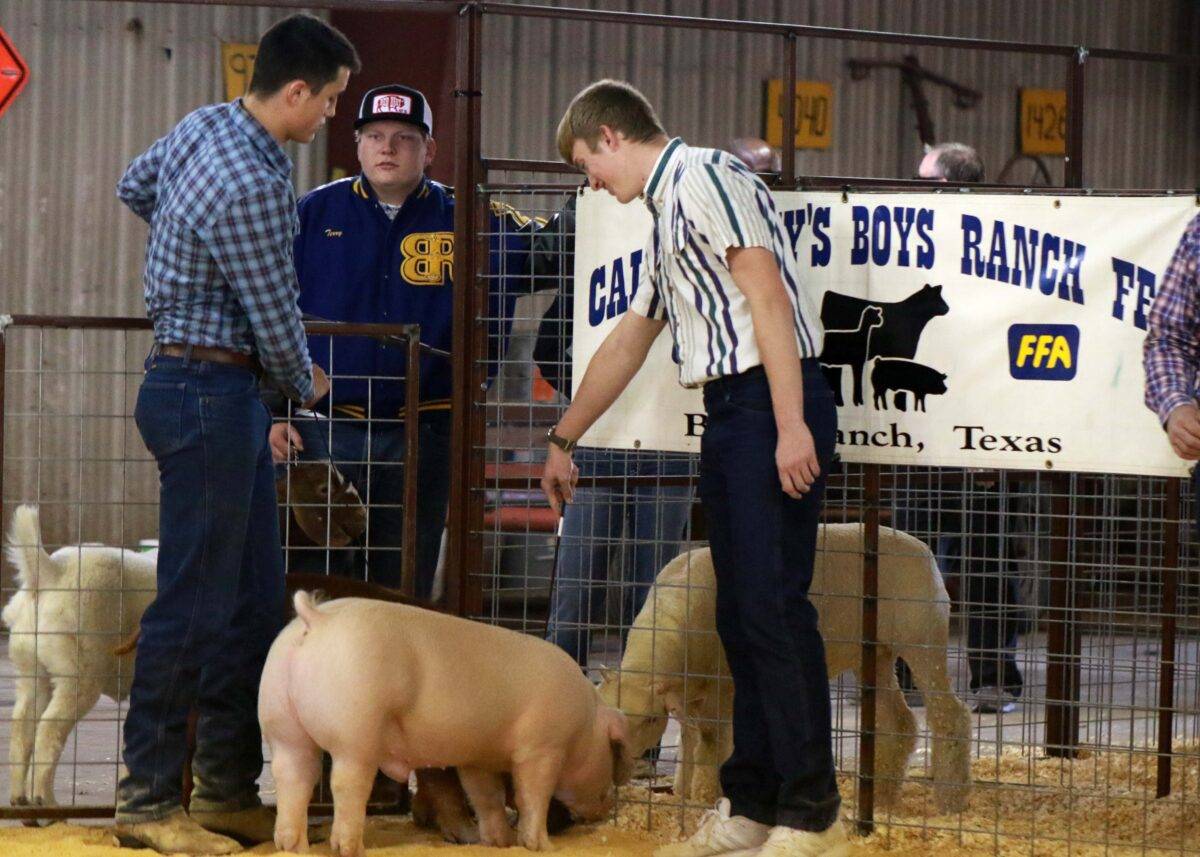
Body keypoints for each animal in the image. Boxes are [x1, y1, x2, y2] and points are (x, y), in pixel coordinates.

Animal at [1, 504, 157, 806]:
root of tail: (49, 573)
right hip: (79, 674)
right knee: (48, 730)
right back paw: (45, 801)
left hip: (32, 670)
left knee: (22, 729)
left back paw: (20, 799)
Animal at [258, 595, 633, 854]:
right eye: (613, 752)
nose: (605, 807)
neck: (585, 724)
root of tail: (316, 618)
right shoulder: (542, 748)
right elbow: (532, 797)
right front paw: (541, 846)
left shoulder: (478, 758)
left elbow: (487, 798)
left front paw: (499, 842)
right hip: (355, 732)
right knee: (346, 785)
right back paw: (351, 849)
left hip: (281, 724)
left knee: (293, 778)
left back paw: (294, 847)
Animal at [600, 520, 974, 806]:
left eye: (650, 719)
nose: (615, 764)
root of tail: (925, 552)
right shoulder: (691, 692)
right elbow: (688, 743)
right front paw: (681, 795)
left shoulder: (722, 690)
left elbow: (710, 743)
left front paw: (704, 800)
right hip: (874, 653)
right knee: (899, 722)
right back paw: (881, 799)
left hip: (921, 636)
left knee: (950, 715)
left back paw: (950, 800)